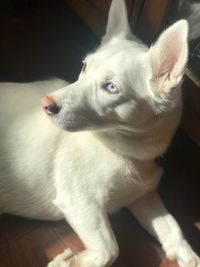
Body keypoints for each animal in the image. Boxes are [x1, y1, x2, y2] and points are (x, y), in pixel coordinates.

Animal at [0, 0, 199, 267]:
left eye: (111, 88)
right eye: (84, 67)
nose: (46, 104)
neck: (122, 151)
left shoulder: (143, 197)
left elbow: (174, 232)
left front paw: (189, 258)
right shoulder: (80, 203)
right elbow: (109, 248)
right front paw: (67, 261)